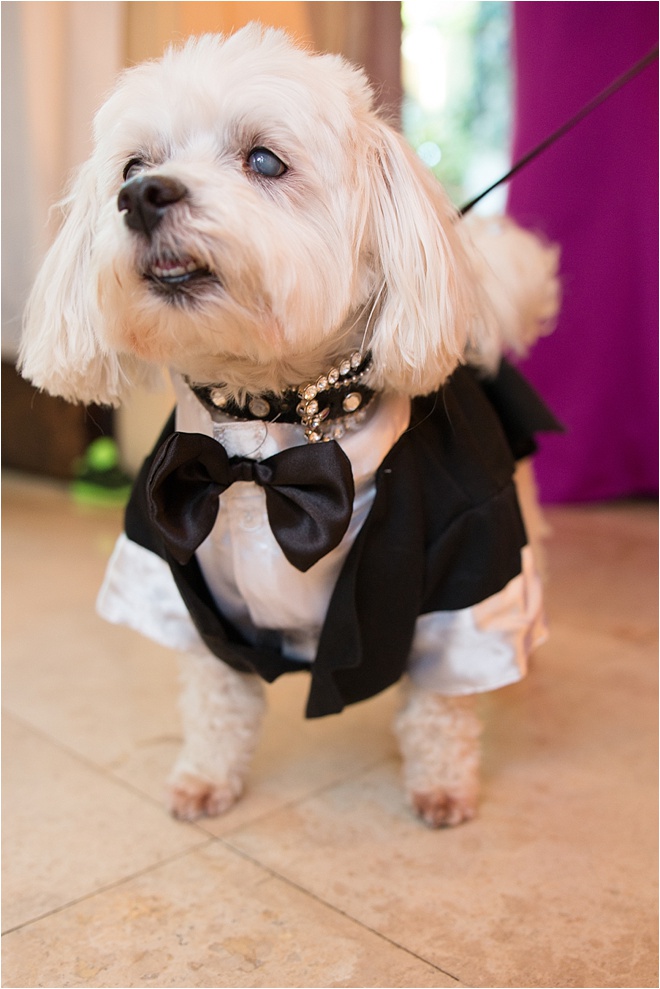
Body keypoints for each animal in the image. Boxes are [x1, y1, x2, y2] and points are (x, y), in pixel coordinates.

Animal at [19, 25, 556, 824]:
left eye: (265, 160)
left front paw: (442, 786)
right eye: (133, 166)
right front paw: (206, 777)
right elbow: (216, 698)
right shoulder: (179, 576)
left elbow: (438, 704)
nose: (140, 197)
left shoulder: (468, 559)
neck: (266, 435)